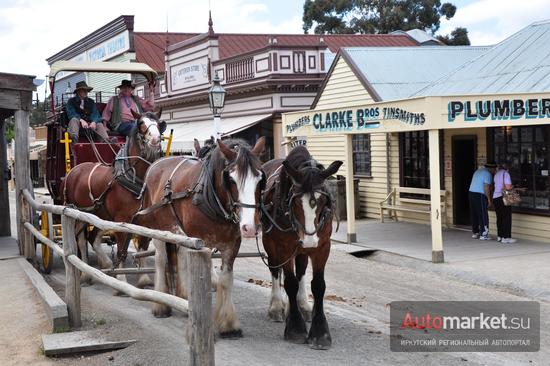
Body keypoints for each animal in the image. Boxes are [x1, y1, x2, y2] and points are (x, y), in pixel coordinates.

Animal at [62, 110, 165, 284]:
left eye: (159, 124)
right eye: (141, 124)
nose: (156, 139)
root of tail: (74, 170)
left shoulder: (144, 221)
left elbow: (142, 247)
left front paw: (143, 278)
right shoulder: (121, 220)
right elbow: (121, 251)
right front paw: (122, 279)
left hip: (99, 214)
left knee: (93, 239)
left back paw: (106, 264)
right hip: (79, 213)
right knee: (81, 240)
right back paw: (85, 274)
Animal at [136, 137, 266, 338]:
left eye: (260, 178)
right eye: (231, 179)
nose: (250, 227)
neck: (211, 197)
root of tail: (156, 163)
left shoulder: (231, 245)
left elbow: (226, 280)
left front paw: (228, 325)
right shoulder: (199, 242)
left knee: (180, 256)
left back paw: (182, 296)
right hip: (158, 229)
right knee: (161, 259)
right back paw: (161, 306)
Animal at [262, 146, 340, 348]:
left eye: (322, 201)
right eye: (296, 202)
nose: (309, 241)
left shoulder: (322, 247)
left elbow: (318, 285)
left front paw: (320, 332)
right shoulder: (284, 248)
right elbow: (290, 283)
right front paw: (295, 328)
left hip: (302, 251)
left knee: (302, 269)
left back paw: (301, 305)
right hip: (270, 242)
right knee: (275, 269)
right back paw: (276, 306)